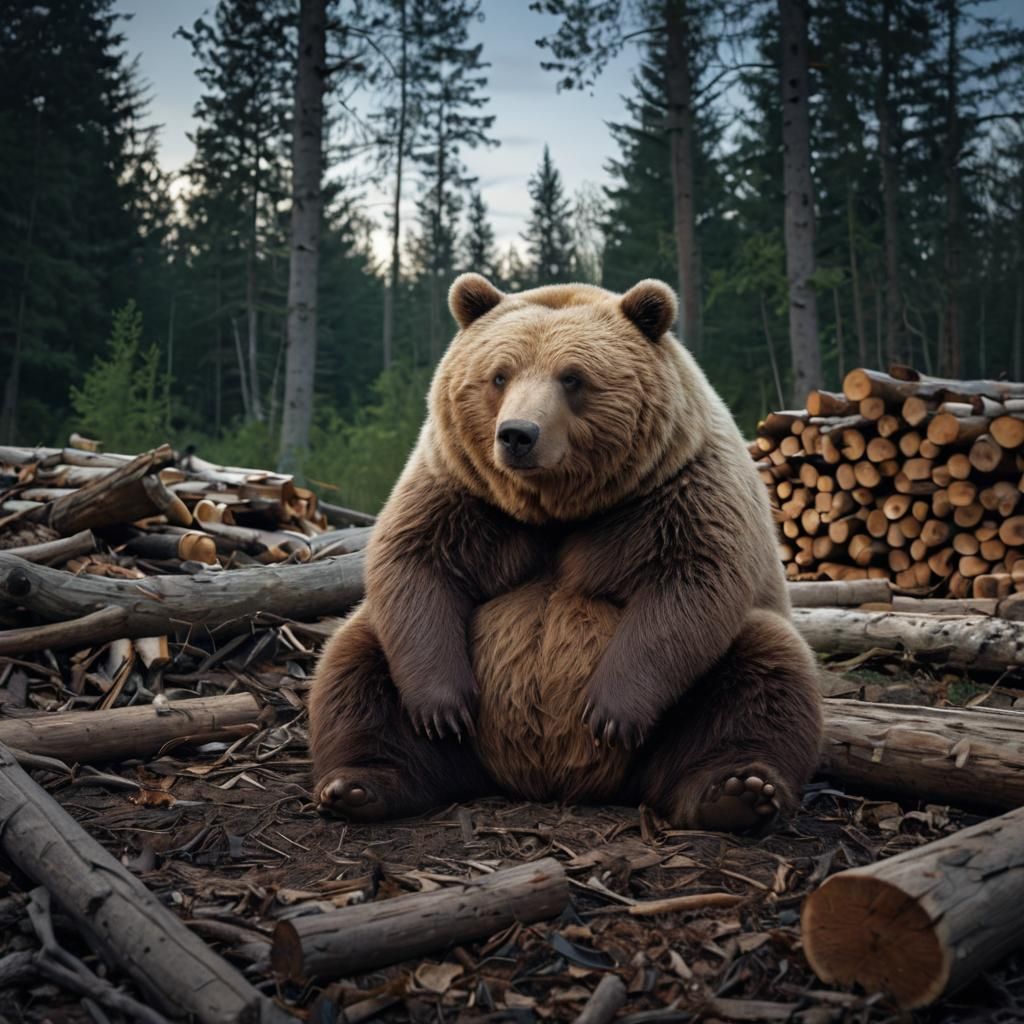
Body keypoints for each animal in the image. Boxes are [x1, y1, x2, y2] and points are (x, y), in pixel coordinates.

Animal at [308, 273, 823, 832]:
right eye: (499, 374)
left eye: (572, 378)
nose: (517, 434)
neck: (557, 507)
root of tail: (539, 780)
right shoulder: (462, 490)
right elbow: (416, 564)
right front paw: (443, 708)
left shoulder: (679, 488)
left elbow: (691, 583)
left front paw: (610, 712)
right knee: (353, 665)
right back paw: (359, 785)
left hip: (697, 705)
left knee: (765, 672)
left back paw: (736, 791)